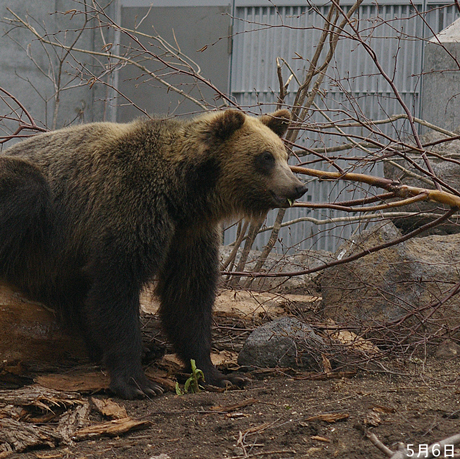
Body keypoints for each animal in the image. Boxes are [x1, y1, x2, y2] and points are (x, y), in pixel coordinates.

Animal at [0, 110, 310, 398]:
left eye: (284, 154)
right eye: (265, 157)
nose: (299, 187)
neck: (183, 195)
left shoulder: (189, 235)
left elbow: (188, 297)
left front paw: (219, 374)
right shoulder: (131, 206)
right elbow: (117, 286)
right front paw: (138, 383)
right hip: (40, 220)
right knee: (28, 188)